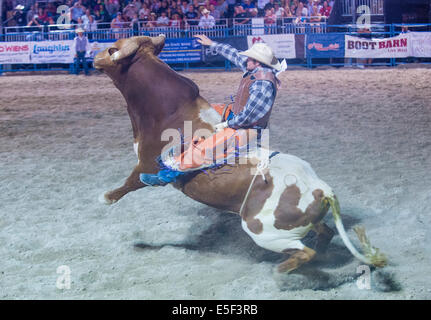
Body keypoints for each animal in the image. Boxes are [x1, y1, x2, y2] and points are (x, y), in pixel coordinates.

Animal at [94, 36, 388, 274]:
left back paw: (283, 270)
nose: (93, 55)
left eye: (112, 49)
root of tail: (321, 189)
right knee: (324, 234)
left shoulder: (146, 164)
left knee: (304, 251)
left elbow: (131, 182)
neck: (170, 112)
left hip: (263, 231)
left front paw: (106, 197)